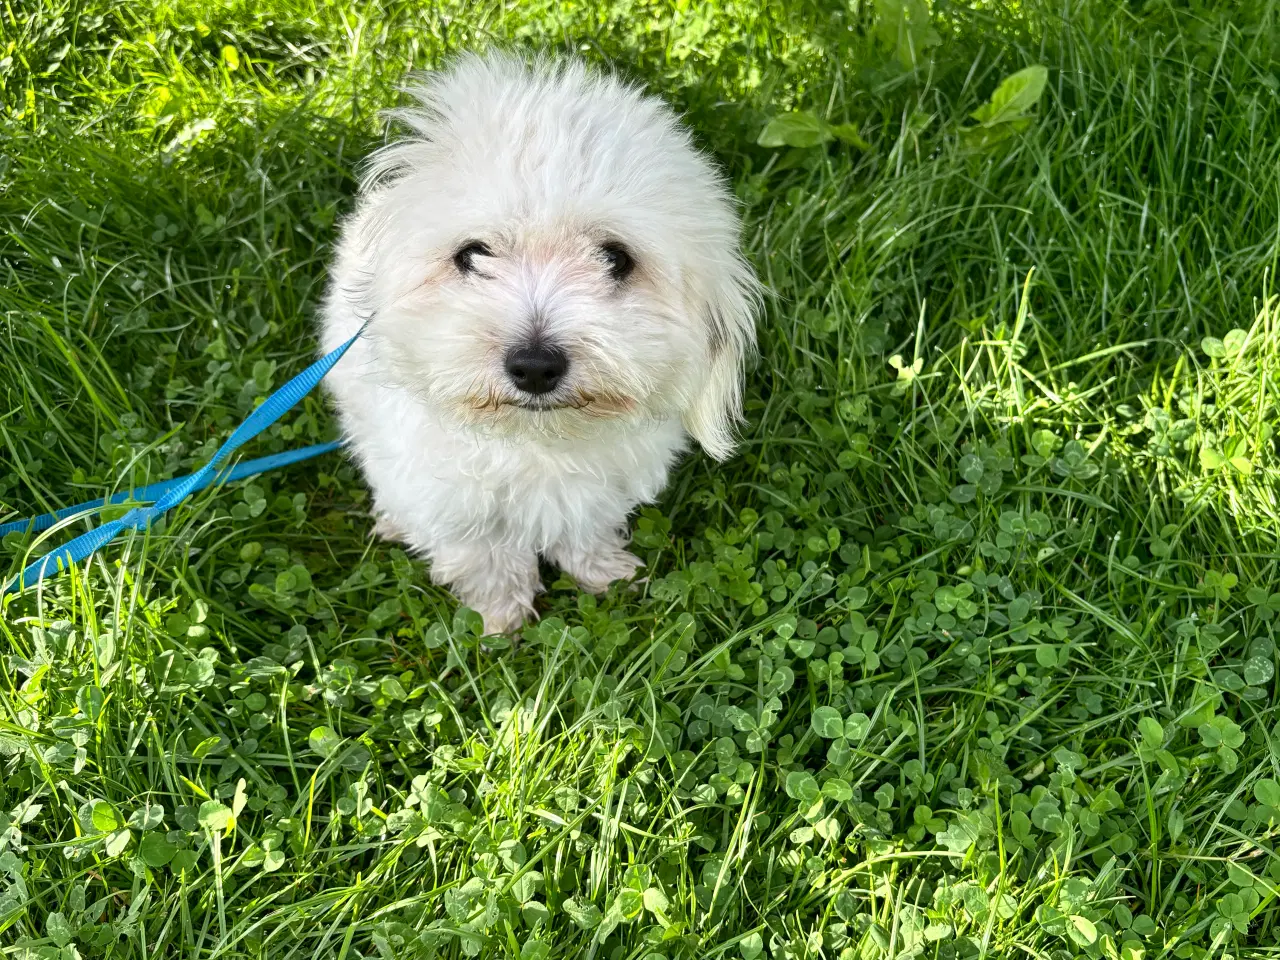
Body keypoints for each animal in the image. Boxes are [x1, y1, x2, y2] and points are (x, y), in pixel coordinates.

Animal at [320, 52, 757, 640]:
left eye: (615, 258)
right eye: (472, 254)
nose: (534, 366)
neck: (537, 440)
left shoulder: (596, 491)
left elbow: (584, 530)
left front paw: (604, 573)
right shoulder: (456, 507)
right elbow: (485, 559)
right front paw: (501, 617)